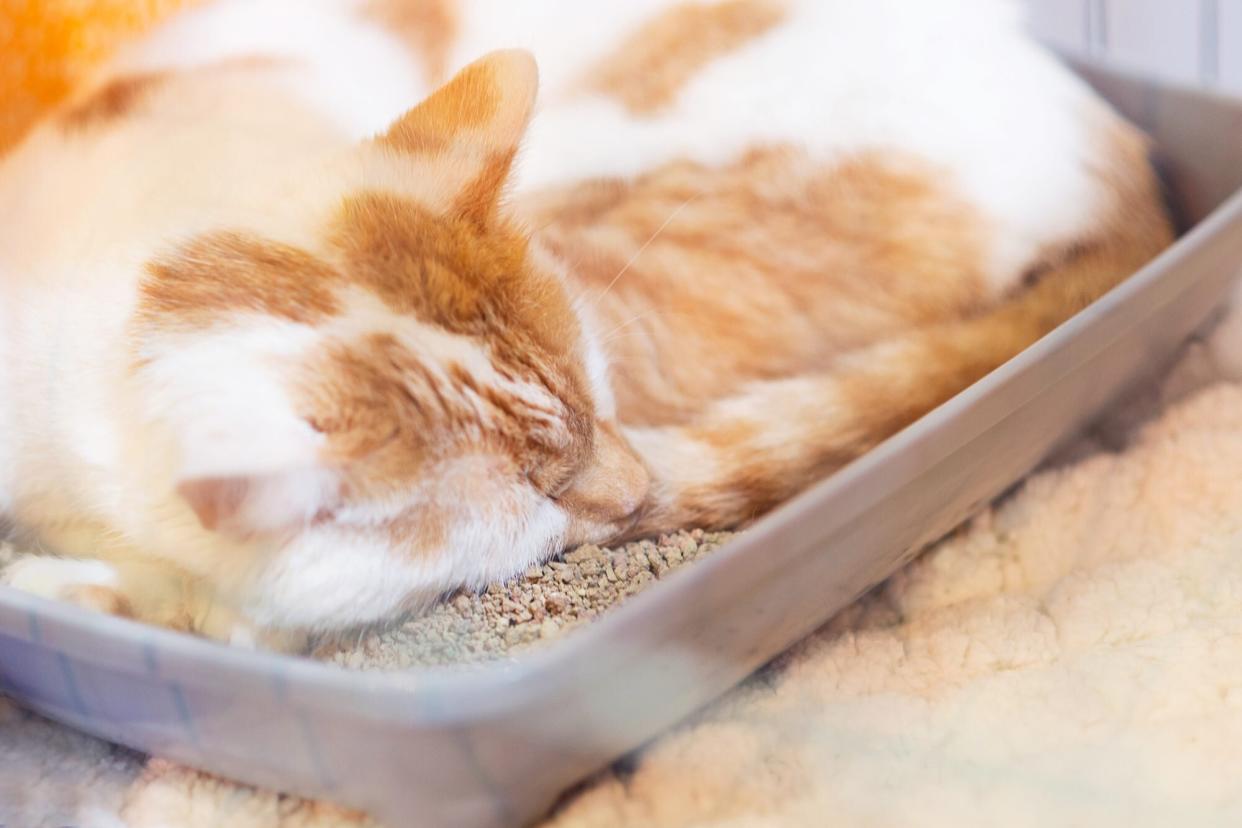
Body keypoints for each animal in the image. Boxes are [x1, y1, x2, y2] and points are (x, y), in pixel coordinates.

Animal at [0, 0, 1167, 645]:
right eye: (532, 498)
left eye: (600, 405)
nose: (631, 488)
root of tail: (1133, 169)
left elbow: (236, 624)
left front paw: (77, 593)